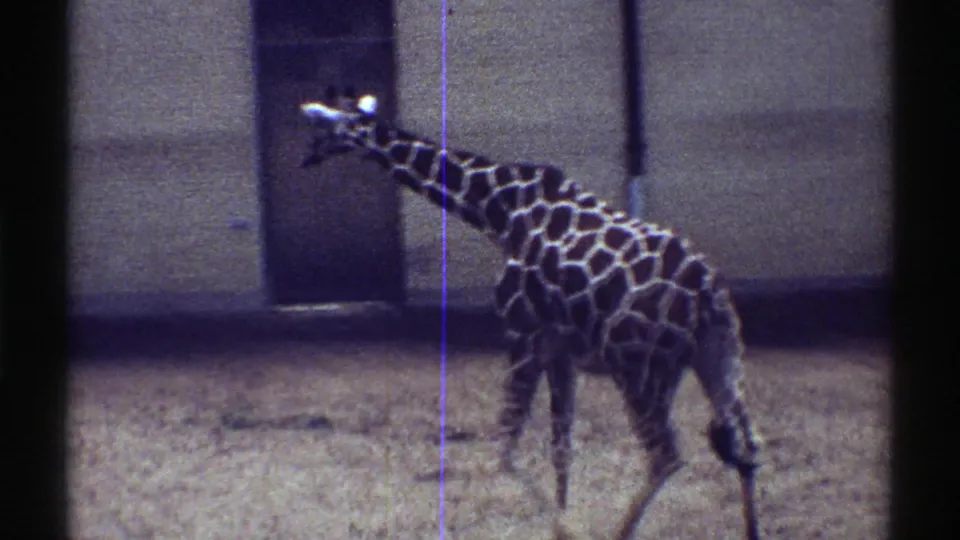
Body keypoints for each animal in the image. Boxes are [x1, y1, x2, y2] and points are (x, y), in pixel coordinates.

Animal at [298, 86, 763, 540]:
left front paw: (564, 527)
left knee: (666, 457)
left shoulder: (523, 333)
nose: (305, 157)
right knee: (749, 446)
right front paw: (562, 519)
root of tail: (706, 290)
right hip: (720, 355)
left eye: (320, 127)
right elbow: (561, 448)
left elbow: (505, 447)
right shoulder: (561, 350)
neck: (498, 211)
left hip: (638, 369)